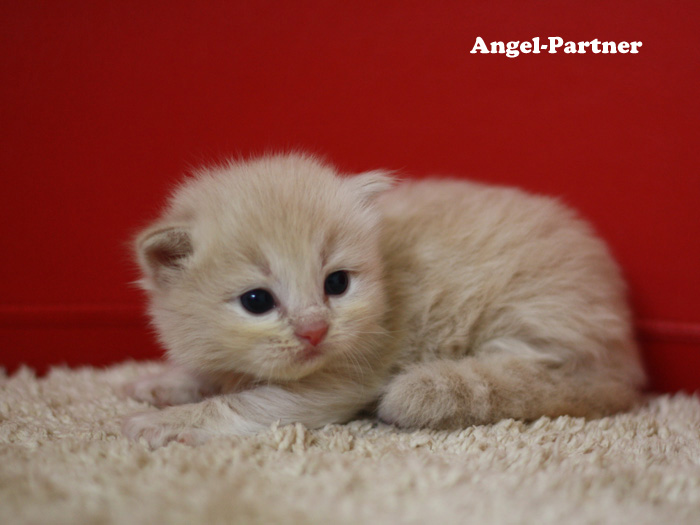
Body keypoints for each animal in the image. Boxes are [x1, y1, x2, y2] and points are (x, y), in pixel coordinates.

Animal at [123, 151, 648, 446]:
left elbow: (246, 404)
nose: (315, 330)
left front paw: (168, 419)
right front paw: (164, 382)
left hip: (535, 322)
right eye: (257, 300)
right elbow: (211, 374)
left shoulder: (343, 382)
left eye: (336, 283)